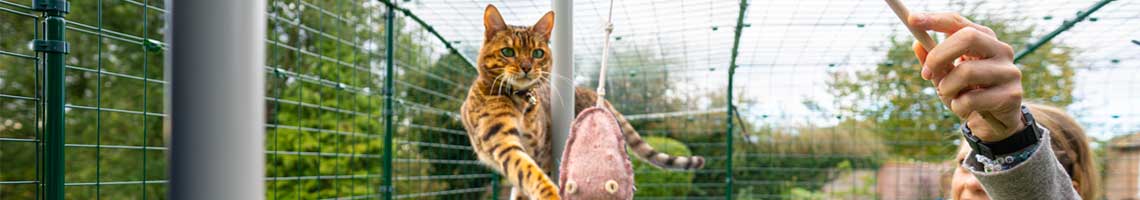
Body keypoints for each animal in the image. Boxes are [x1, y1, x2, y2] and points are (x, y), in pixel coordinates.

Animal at [460, 3, 706, 198]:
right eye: (508, 51)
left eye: (538, 53)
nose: (527, 67)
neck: (521, 101)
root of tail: (589, 92)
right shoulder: (501, 139)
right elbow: (527, 172)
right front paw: (549, 193)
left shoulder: (539, 151)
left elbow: (528, 176)